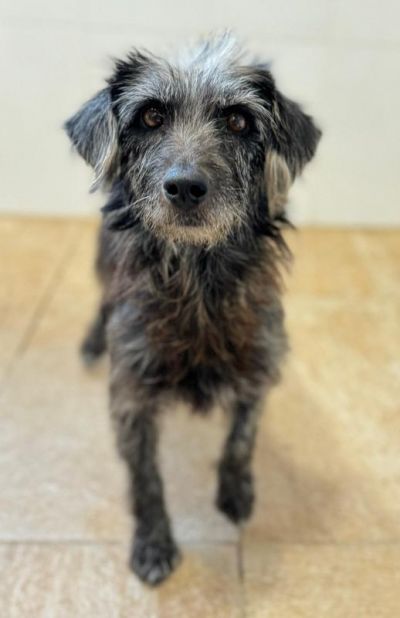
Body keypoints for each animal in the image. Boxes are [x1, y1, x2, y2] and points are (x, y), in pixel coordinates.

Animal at [64, 33, 321, 585]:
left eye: (239, 121)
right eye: (150, 116)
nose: (185, 186)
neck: (198, 282)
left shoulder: (261, 365)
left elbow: (242, 437)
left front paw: (236, 490)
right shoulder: (131, 397)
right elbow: (146, 479)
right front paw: (154, 544)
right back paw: (93, 341)